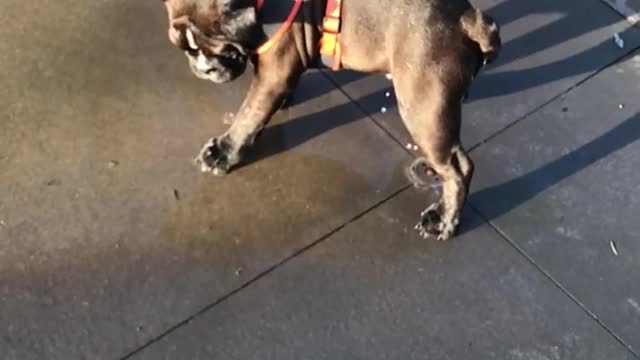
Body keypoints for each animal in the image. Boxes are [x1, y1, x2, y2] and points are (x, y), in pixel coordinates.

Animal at [160, 0, 500, 242]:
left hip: (422, 106)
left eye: (219, 47)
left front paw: (223, 152)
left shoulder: (273, 70)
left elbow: (249, 114)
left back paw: (443, 221)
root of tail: (467, 18)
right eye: (185, 48)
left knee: (458, 168)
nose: (201, 69)